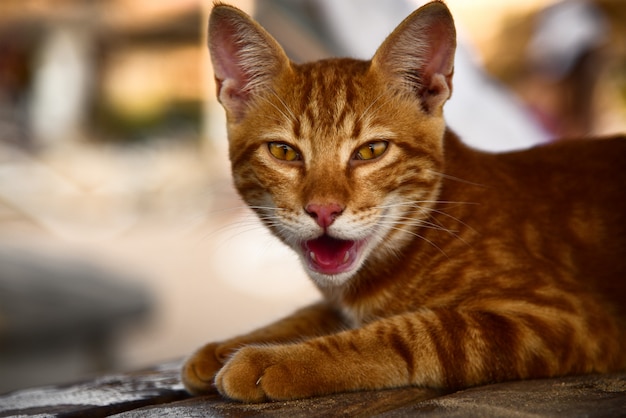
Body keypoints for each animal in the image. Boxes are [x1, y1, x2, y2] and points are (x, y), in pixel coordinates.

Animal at [180, 1, 624, 404]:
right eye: (283, 152)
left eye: (371, 150)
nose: (324, 210)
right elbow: (311, 312)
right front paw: (227, 346)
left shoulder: (561, 319)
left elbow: (405, 332)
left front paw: (276, 361)